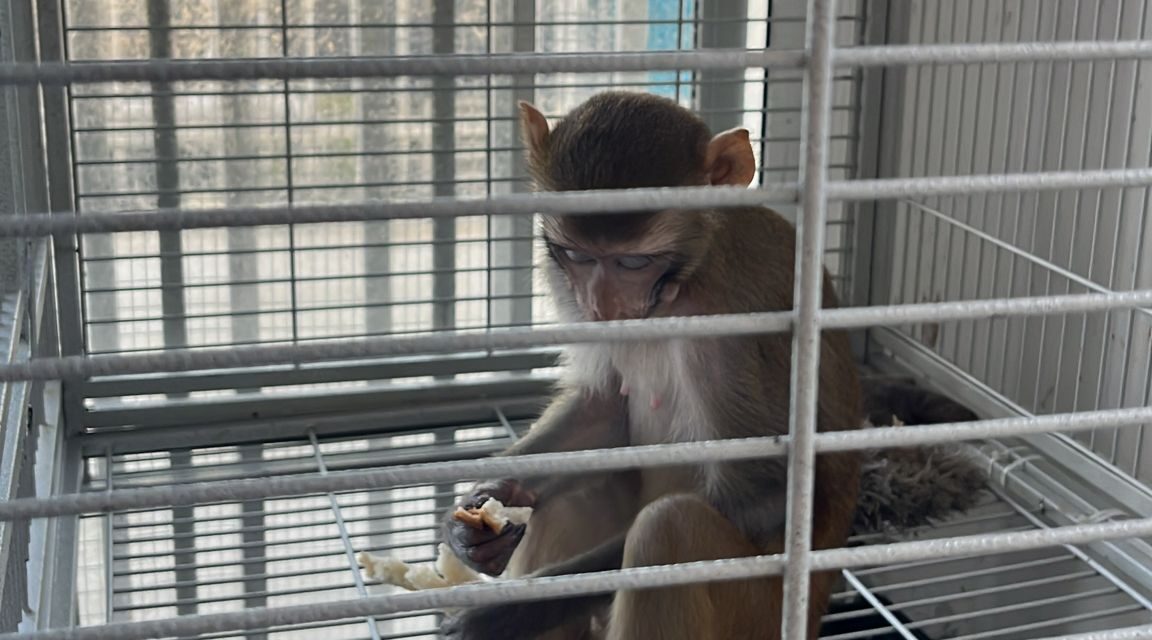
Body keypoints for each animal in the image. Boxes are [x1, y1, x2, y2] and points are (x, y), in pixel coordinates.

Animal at [439, 90, 865, 640]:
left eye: (633, 262)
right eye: (576, 254)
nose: (599, 305)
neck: (682, 284)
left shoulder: (732, 333)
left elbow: (765, 498)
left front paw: (506, 612)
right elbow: (603, 407)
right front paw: (484, 503)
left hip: (758, 615)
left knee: (668, 527)